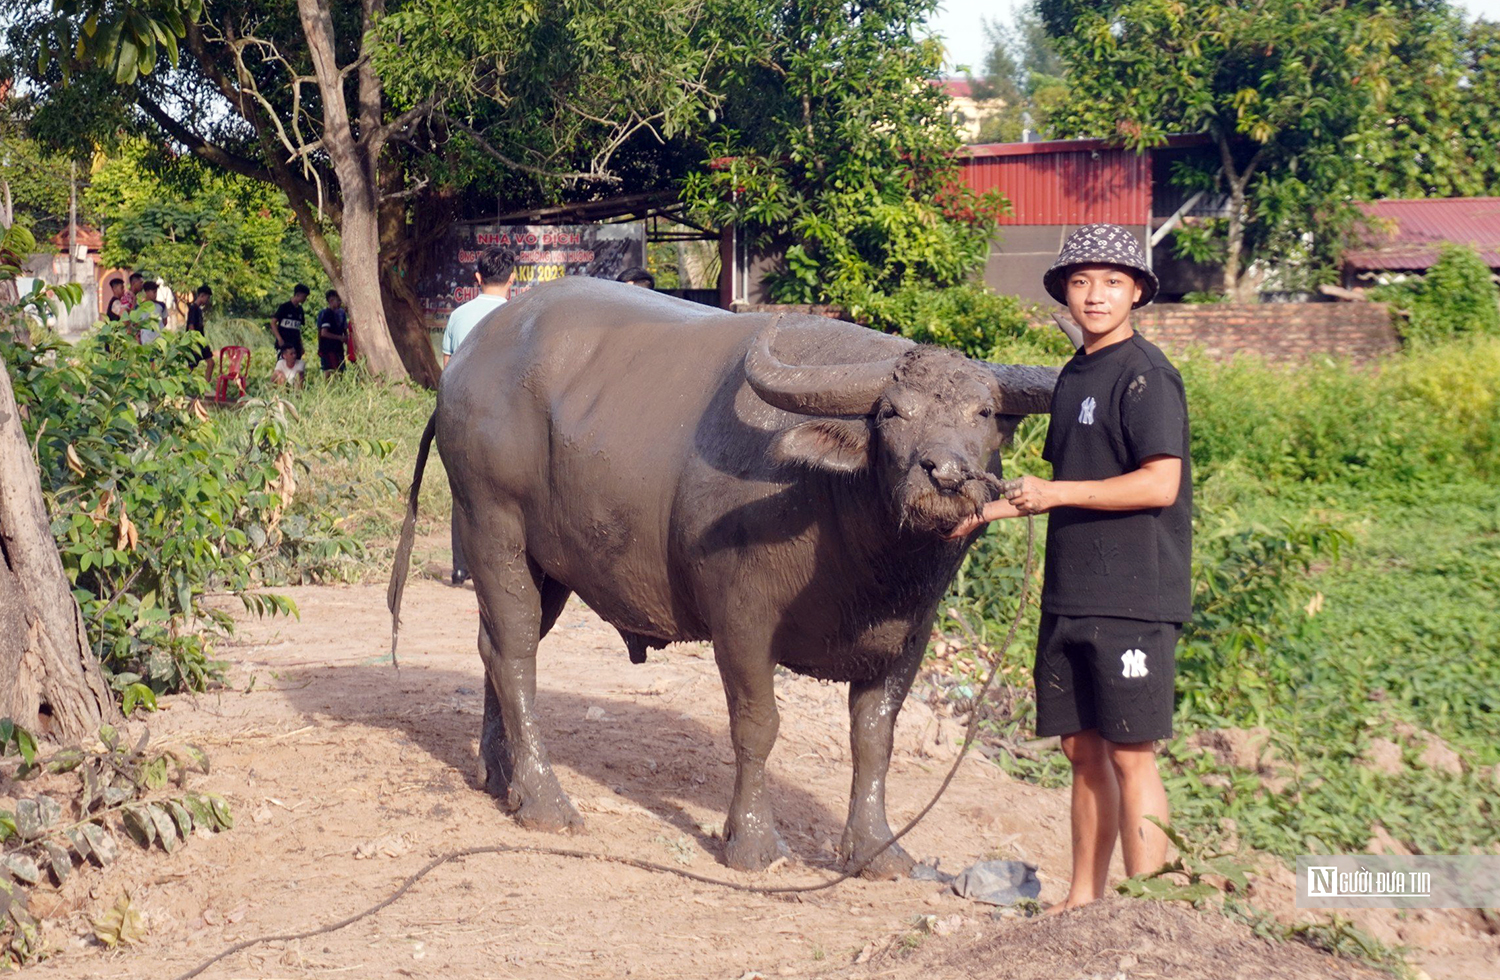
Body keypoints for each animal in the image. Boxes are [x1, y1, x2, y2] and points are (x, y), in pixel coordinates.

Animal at [393, 277, 1062, 876]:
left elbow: (875, 736)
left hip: (546, 564)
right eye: (893, 413)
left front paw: (876, 850)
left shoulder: (909, 634)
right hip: (491, 524)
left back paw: (499, 775)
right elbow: (757, 725)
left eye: (984, 412)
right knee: (515, 654)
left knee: (494, 646)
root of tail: (467, 364)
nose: (944, 474)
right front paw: (754, 844)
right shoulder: (741, 620)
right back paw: (544, 801)